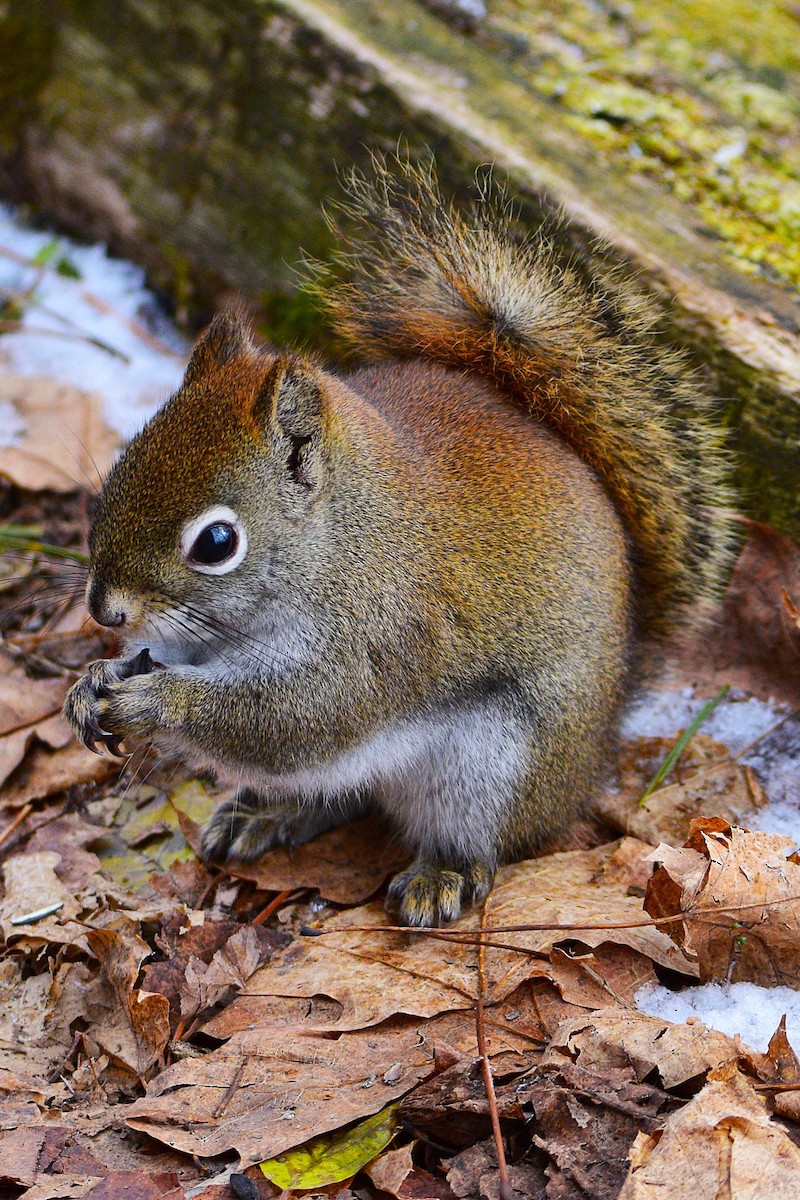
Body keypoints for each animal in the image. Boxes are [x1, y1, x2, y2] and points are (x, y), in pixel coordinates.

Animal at [64, 159, 732, 926]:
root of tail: (602, 737)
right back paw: (268, 813)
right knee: (337, 796)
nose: (104, 610)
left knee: (475, 838)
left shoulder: (383, 639)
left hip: (492, 765)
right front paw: (96, 682)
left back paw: (442, 873)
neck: (342, 540)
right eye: (122, 463)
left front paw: (158, 703)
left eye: (217, 542)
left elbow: (301, 717)